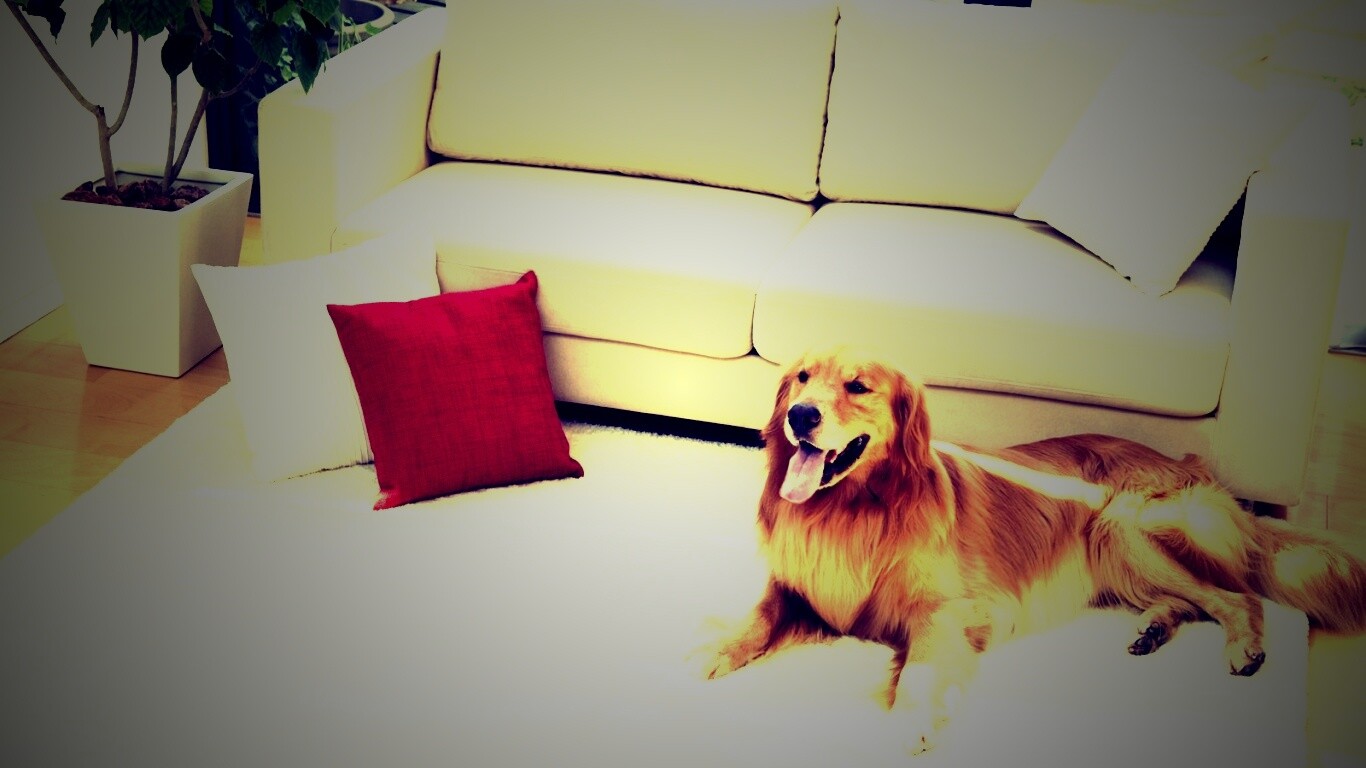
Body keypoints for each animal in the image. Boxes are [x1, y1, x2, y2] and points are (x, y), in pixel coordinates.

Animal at [705, 348, 1366, 754]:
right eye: (800, 378)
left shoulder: (947, 612)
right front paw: (719, 651)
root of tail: (1190, 463)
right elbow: (761, 614)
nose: (799, 415)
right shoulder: (797, 584)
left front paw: (904, 726)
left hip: (1117, 528)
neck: (849, 512)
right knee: (1192, 600)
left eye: (857, 386)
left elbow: (918, 672)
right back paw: (1152, 630)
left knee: (1236, 596)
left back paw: (1244, 647)